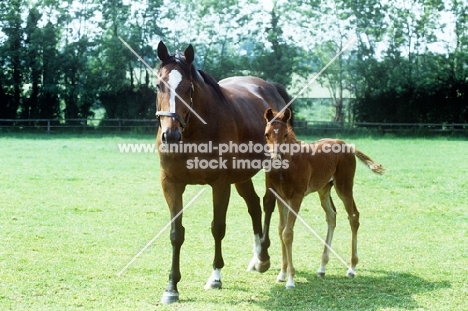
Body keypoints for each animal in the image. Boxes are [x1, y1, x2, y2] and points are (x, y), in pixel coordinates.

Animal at [264, 108, 384, 288]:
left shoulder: (296, 197)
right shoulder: (280, 197)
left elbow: (288, 233)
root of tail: (347, 145)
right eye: (267, 134)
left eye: (285, 134)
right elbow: (280, 230)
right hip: (324, 189)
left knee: (353, 216)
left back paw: (351, 268)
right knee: (331, 216)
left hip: (344, 186)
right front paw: (282, 273)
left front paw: (290, 279)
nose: (275, 158)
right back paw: (322, 267)